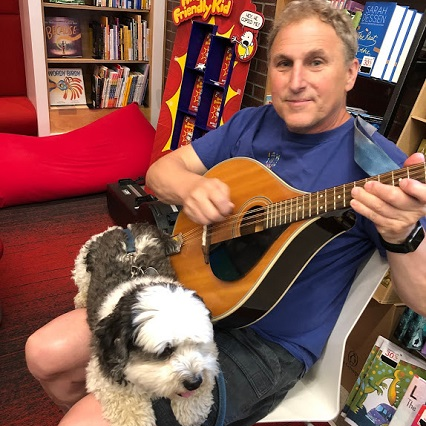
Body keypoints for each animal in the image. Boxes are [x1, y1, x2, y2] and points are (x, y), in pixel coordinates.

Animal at [73, 221, 218, 426]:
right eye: (165, 351)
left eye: (197, 343)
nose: (194, 382)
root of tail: (123, 228)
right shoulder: (104, 367)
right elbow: (126, 400)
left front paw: (191, 410)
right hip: (82, 264)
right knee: (82, 282)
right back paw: (81, 298)